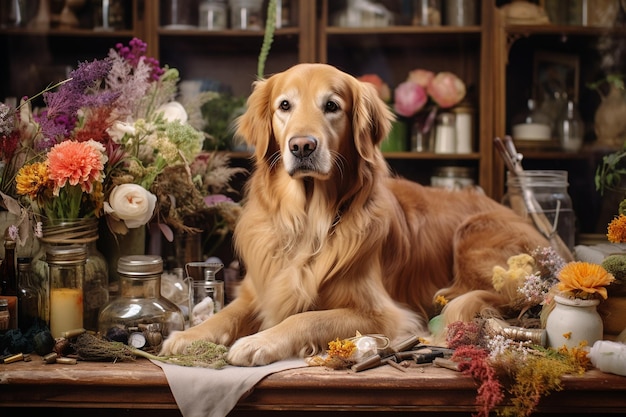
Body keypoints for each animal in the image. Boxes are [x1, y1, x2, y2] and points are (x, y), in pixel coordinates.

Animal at [158, 61, 548, 364]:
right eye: (284, 105)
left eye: (332, 105)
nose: (302, 146)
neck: (308, 222)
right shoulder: (258, 290)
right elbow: (226, 313)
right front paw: (189, 335)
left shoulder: (386, 316)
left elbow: (307, 319)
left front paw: (258, 341)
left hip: (473, 234)